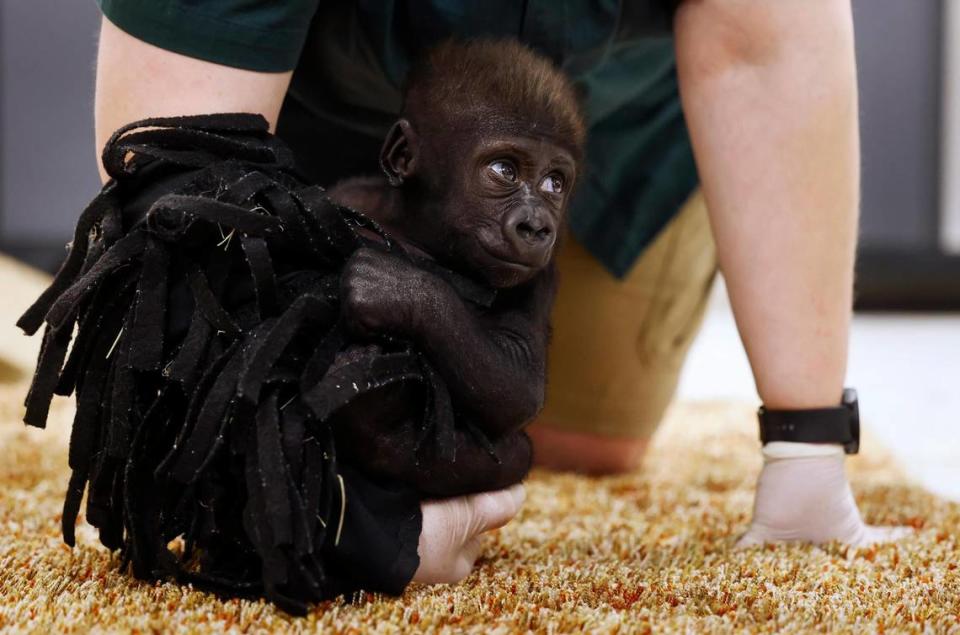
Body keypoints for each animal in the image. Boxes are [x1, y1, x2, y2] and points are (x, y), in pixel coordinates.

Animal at [328, 38, 584, 496]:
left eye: (555, 183)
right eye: (504, 170)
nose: (537, 227)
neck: (424, 232)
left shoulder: (541, 277)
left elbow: (518, 380)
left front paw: (400, 290)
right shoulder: (351, 194)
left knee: (515, 451)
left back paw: (382, 434)